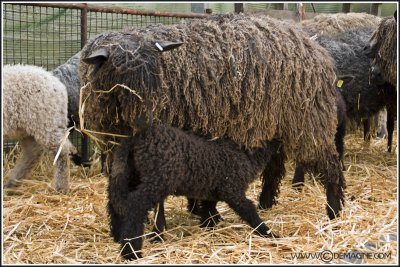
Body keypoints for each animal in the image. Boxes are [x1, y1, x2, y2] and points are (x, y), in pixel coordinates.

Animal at [3, 65, 77, 195]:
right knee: (33, 152)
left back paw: (61, 188)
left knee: (61, 151)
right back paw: (12, 183)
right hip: (29, 127)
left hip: (45, 120)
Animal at [80, 13, 344, 221]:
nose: (146, 123)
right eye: (121, 77)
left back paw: (334, 210)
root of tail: (313, 45)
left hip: (309, 120)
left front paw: (163, 228)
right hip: (274, 123)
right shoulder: (115, 147)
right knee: (275, 166)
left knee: (330, 164)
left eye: (157, 75)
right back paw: (266, 203)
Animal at [108, 125, 280, 262]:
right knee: (135, 205)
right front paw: (269, 233)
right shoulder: (232, 189)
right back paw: (131, 252)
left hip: (131, 174)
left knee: (115, 203)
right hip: (157, 178)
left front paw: (208, 228)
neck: (246, 155)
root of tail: (135, 139)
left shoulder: (213, 190)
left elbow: (209, 210)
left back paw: (117, 235)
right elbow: (249, 210)